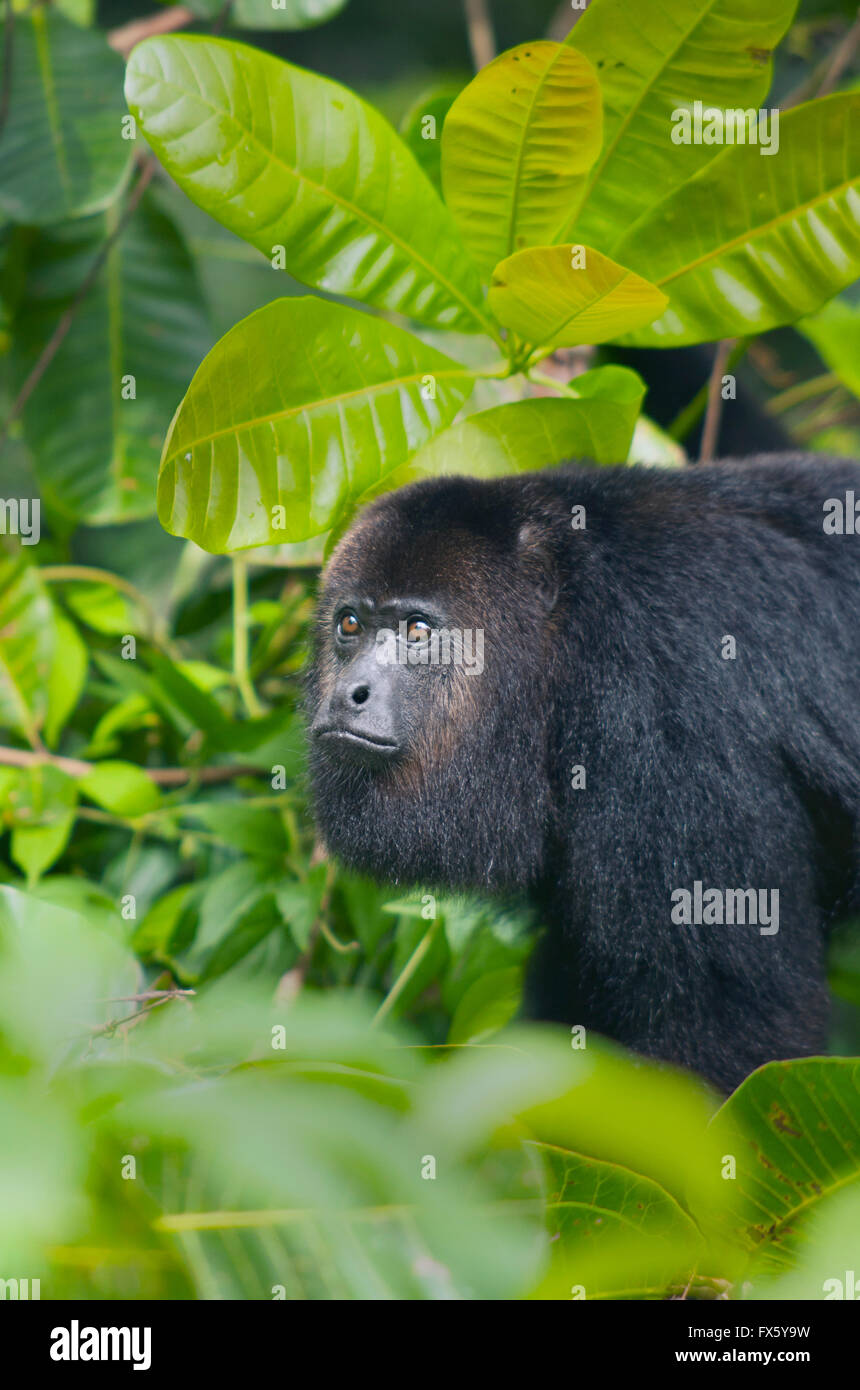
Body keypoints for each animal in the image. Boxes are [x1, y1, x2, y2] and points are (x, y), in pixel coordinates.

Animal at [308, 450, 860, 1089]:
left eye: (418, 630)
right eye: (349, 624)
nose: (350, 693)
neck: (566, 642)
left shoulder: (671, 731)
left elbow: (733, 1030)